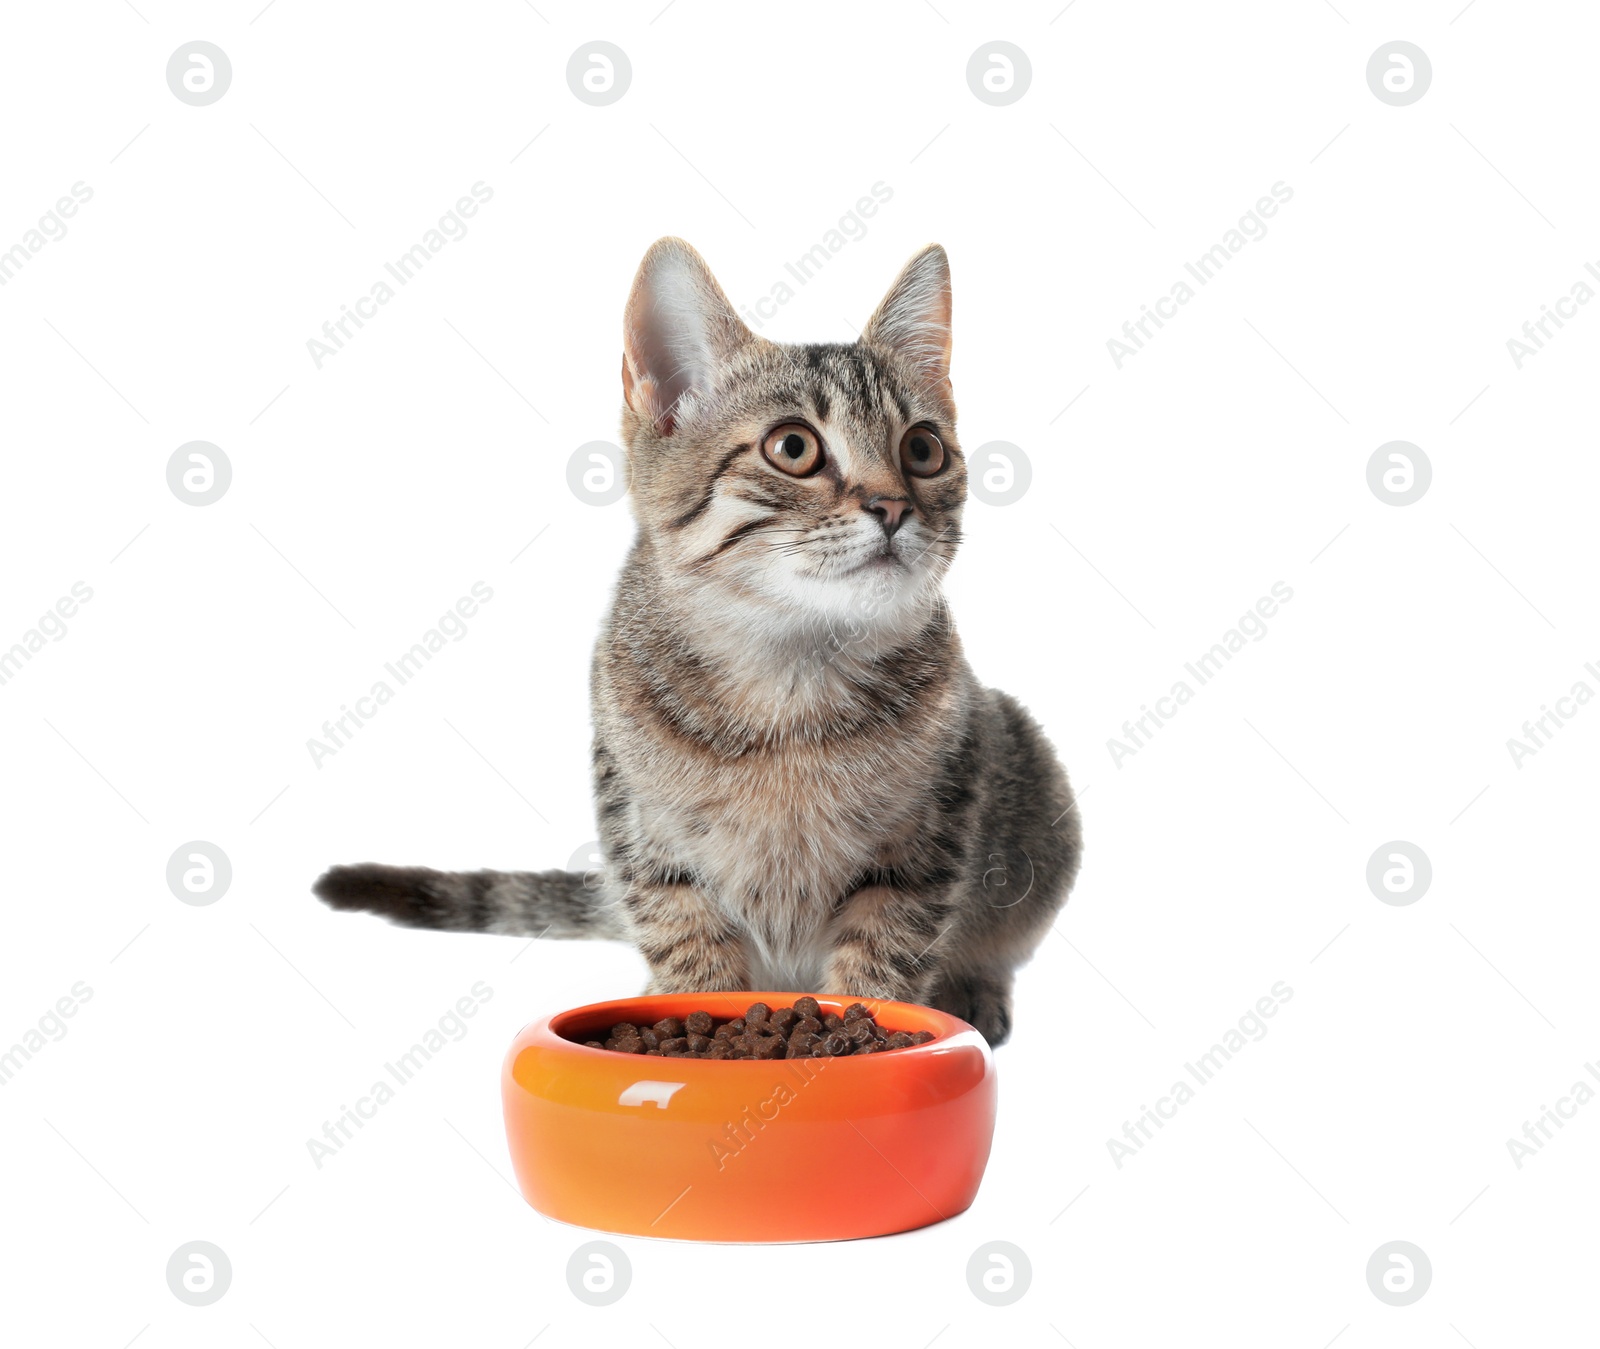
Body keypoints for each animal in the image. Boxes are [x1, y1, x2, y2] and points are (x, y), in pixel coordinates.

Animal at [313, 236, 1081, 1049]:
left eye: (925, 449)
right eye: (794, 447)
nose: (895, 506)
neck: (789, 674)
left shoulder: (933, 827)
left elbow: (884, 952)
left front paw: (864, 1035)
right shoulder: (642, 826)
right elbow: (684, 938)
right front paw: (691, 1014)